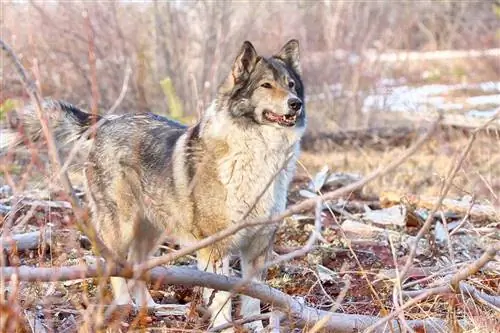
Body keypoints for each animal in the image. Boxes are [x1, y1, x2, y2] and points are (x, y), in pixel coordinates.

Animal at [11, 40, 306, 330]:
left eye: (291, 84)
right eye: (266, 85)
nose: (296, 104)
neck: (259, 153)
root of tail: (106, 120)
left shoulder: (258, 246)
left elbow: (253, 298)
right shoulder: (215, 247)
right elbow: (221, 298)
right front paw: (223, 325)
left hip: (151, 231)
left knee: (137, 265)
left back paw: (151, 308)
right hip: (122, 226)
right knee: (116, 265)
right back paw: (125, 306)